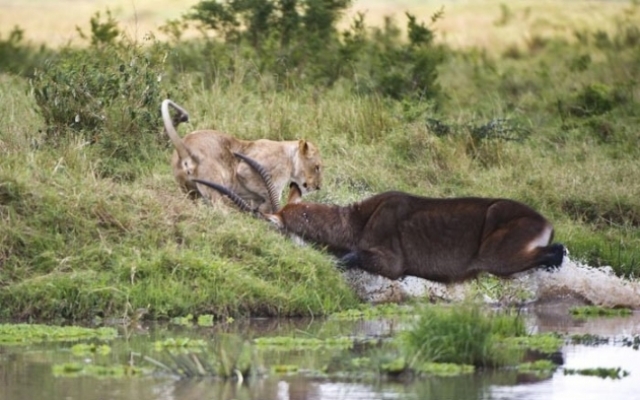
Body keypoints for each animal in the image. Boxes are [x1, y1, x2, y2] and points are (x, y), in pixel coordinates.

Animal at [192, 158, 564, 282]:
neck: (358, 220)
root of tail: (543, 221)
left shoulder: (392, 263)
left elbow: (348, 257)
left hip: (495, 257)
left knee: (556, 252)